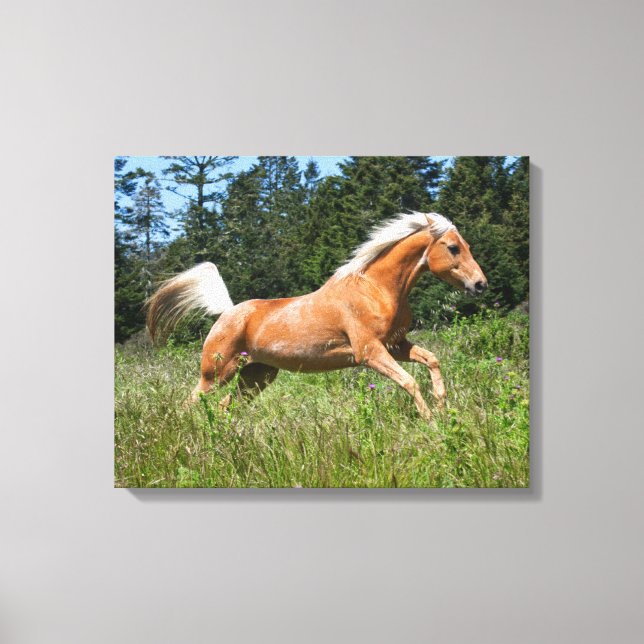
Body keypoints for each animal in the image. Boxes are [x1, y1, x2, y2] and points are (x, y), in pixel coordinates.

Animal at [146, 212, 487, 421]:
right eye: (453, 248)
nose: (480, 285)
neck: (375, 289)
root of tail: (228, 311)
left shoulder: (396, 345)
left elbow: (432, 361)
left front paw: (442, 407)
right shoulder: (370, 352)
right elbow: (409, 382)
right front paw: (431, 423)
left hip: (256, 376)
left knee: (224, 406)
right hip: (216, 374)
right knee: (192, 403)